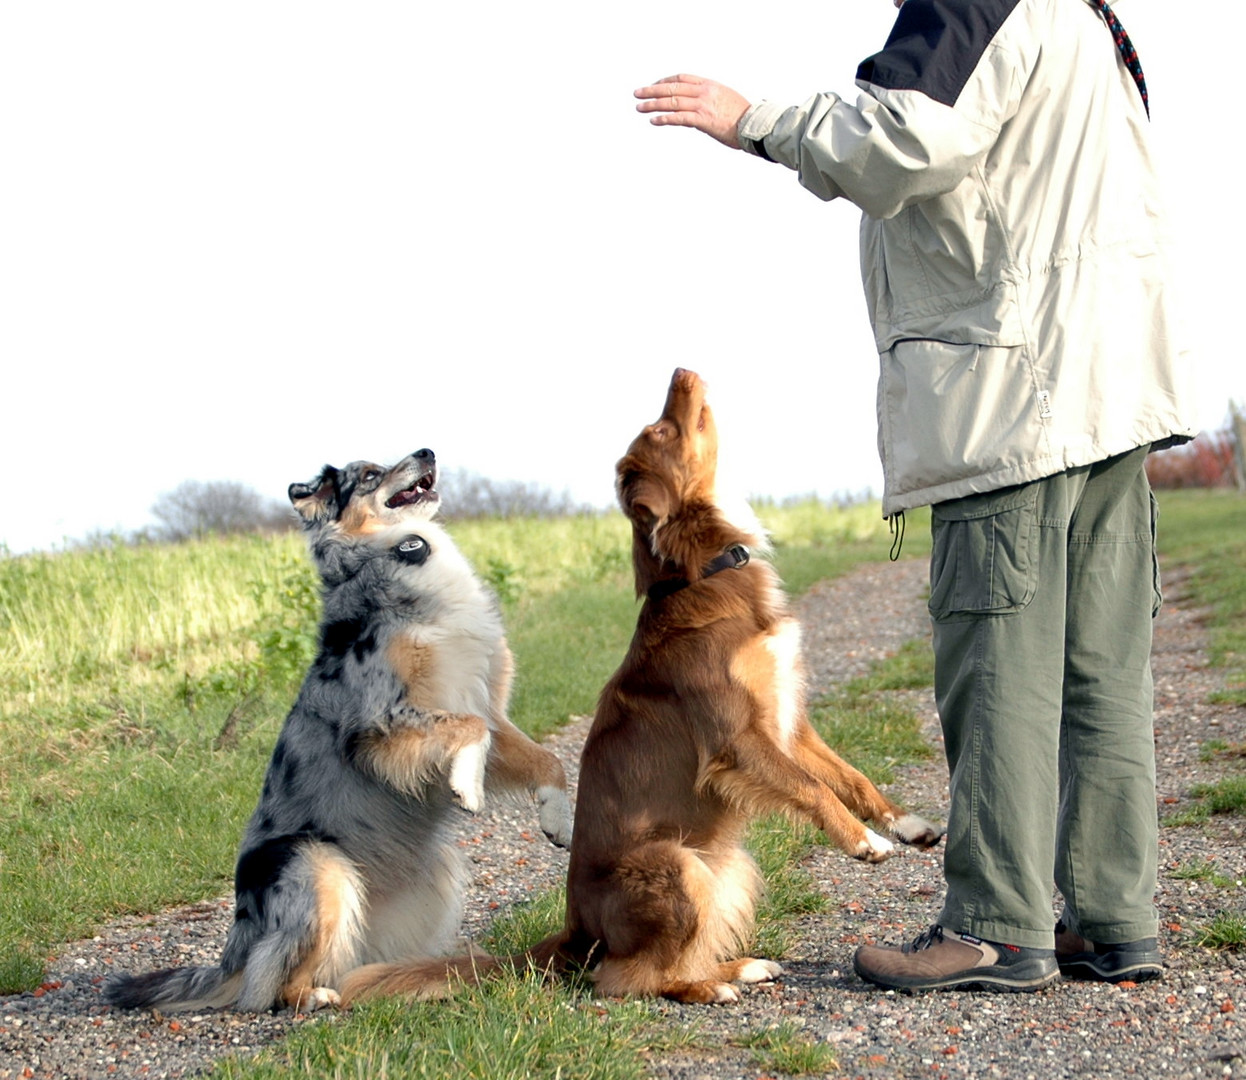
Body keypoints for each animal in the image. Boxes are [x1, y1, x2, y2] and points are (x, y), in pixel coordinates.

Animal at [346, 368, 936, 1006]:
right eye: (661, 429)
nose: (682, 371)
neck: (703, 572)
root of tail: (576, 930)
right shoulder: (738, 740)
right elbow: (813, 788)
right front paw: (864, 843)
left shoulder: (790, 724)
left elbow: (849, 777)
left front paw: (905, 824)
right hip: (676, 863)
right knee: (628, 978)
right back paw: (712, 987)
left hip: (725, 867)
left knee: (676, 954)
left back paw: (736, 968)